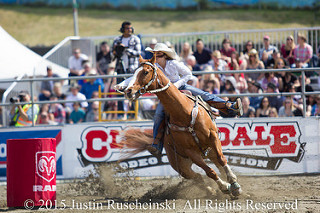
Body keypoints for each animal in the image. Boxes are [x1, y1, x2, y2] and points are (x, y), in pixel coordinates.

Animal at [119, 55, 241, 196]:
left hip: (209, 151)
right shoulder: (190, 152)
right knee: (198, 177)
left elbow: (222, 159)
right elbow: (210, 171)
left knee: (217, 164)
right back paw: (212, 190)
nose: (128, 91)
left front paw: (234, 183)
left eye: (145, 72)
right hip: (182, 166)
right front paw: (224, 186)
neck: (184, 112)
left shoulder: (213, 136)